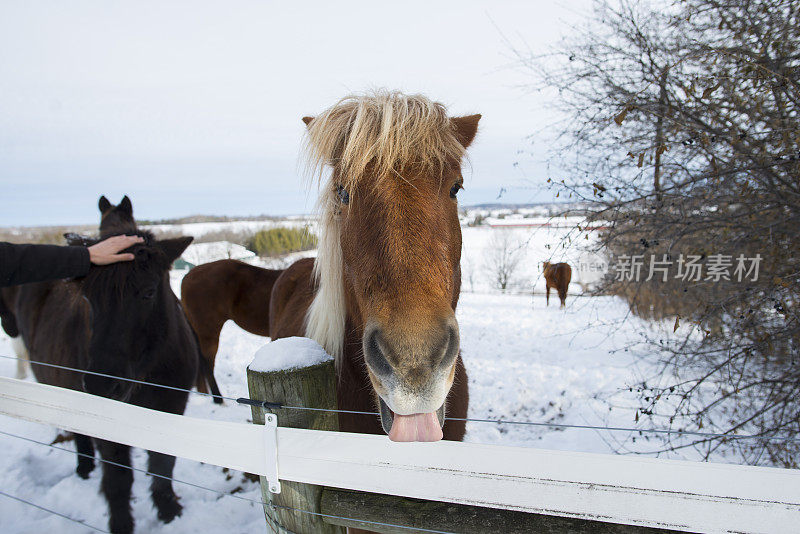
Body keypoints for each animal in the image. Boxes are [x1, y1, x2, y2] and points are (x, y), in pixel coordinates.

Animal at [1, 231, 197, 534]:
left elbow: (163, 465)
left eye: (149, 292)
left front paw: (168, 511)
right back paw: (84, 468)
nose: (102, 386)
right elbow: (118, 478)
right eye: (87, 297)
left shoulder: (172, 409)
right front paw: (121, 524)